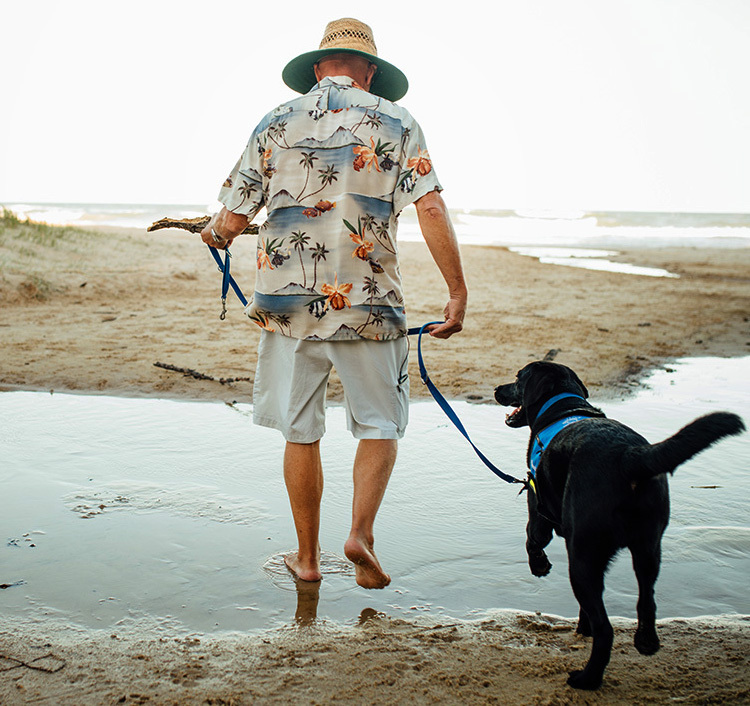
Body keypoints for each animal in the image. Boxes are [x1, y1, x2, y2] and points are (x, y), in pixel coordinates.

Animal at [494, 360, 748, 692]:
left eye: (518, 378)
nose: (496, 389)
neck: (562, 406)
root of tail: (630, 457)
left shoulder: (538, 508)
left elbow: (532, 540)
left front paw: (540, 566)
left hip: (583, 559)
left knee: (606, 629)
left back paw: (587, 679)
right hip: (648, 549)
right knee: (646, 601)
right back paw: (646, 642)